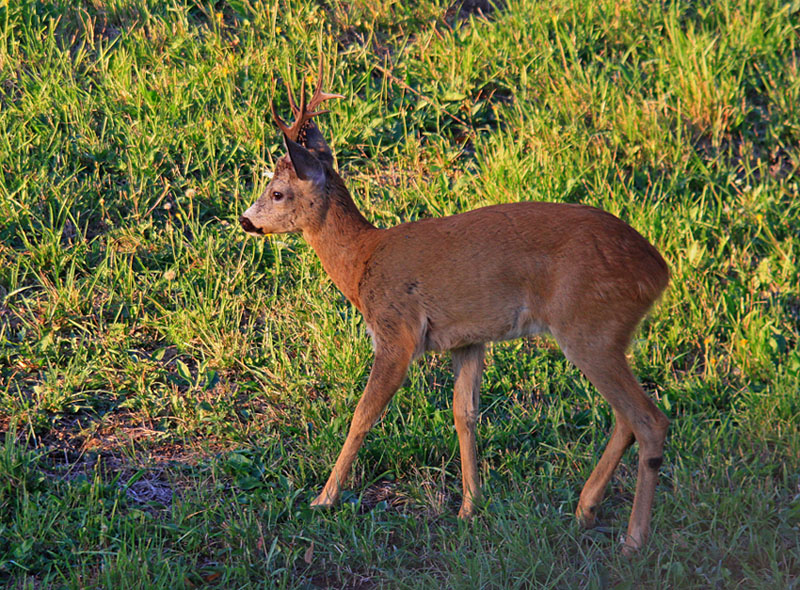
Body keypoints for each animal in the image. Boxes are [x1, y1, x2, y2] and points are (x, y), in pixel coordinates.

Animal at [241, 63, 672, 556]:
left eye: (277, 192)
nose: (245, 220)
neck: (363, 261)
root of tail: (658, 271)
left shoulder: (396, 331)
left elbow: (363, 414)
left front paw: (324, 498)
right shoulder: (467, 339)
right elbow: (464, 415)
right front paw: (470, 506)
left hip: (589, 326)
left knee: (649, 419)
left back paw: (633, 539)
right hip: (603, 334)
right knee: (626, 418)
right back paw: (586, 508)